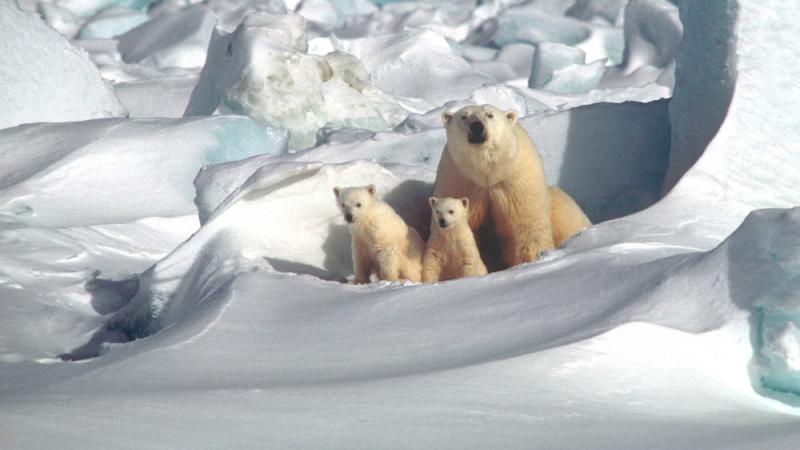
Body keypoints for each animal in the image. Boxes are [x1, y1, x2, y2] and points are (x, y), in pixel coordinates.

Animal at [434, 104, 592, 268]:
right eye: (464, 116)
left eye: (490, 115)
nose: (477, 126)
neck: (487, 174)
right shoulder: (461, 182)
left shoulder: (515, 181)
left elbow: (526, 226)